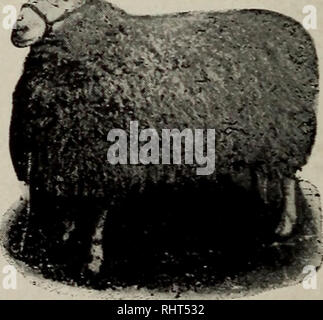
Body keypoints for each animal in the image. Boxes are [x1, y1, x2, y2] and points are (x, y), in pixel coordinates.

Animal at [8, 0, 320, 280]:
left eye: (59, 2)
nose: (18, 27)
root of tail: (298, 31)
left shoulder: (105, 161)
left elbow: (96, 216)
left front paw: (93, 261)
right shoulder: (66, 156)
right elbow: (71, 208)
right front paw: (63, 240)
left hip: (289, 132)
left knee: (288, 179)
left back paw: (284, 226)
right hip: (259, 136)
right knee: (265, 173)